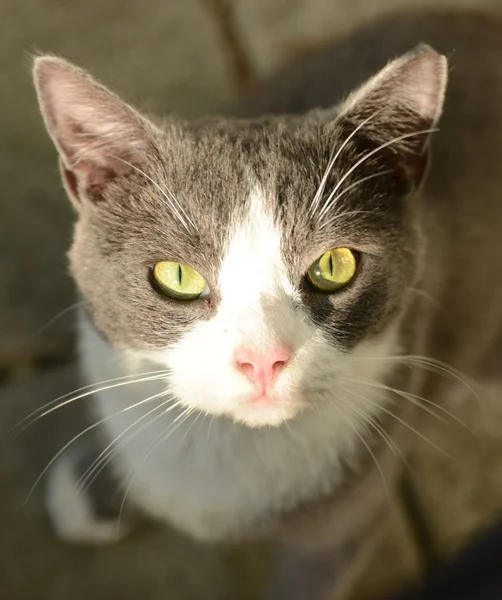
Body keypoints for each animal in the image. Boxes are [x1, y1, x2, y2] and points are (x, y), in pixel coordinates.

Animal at [33, 9, 502, 600]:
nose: (262, 360)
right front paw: (93, 491)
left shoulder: (348, 519)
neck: (227, 441)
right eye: (177, 276)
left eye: (334, 265)